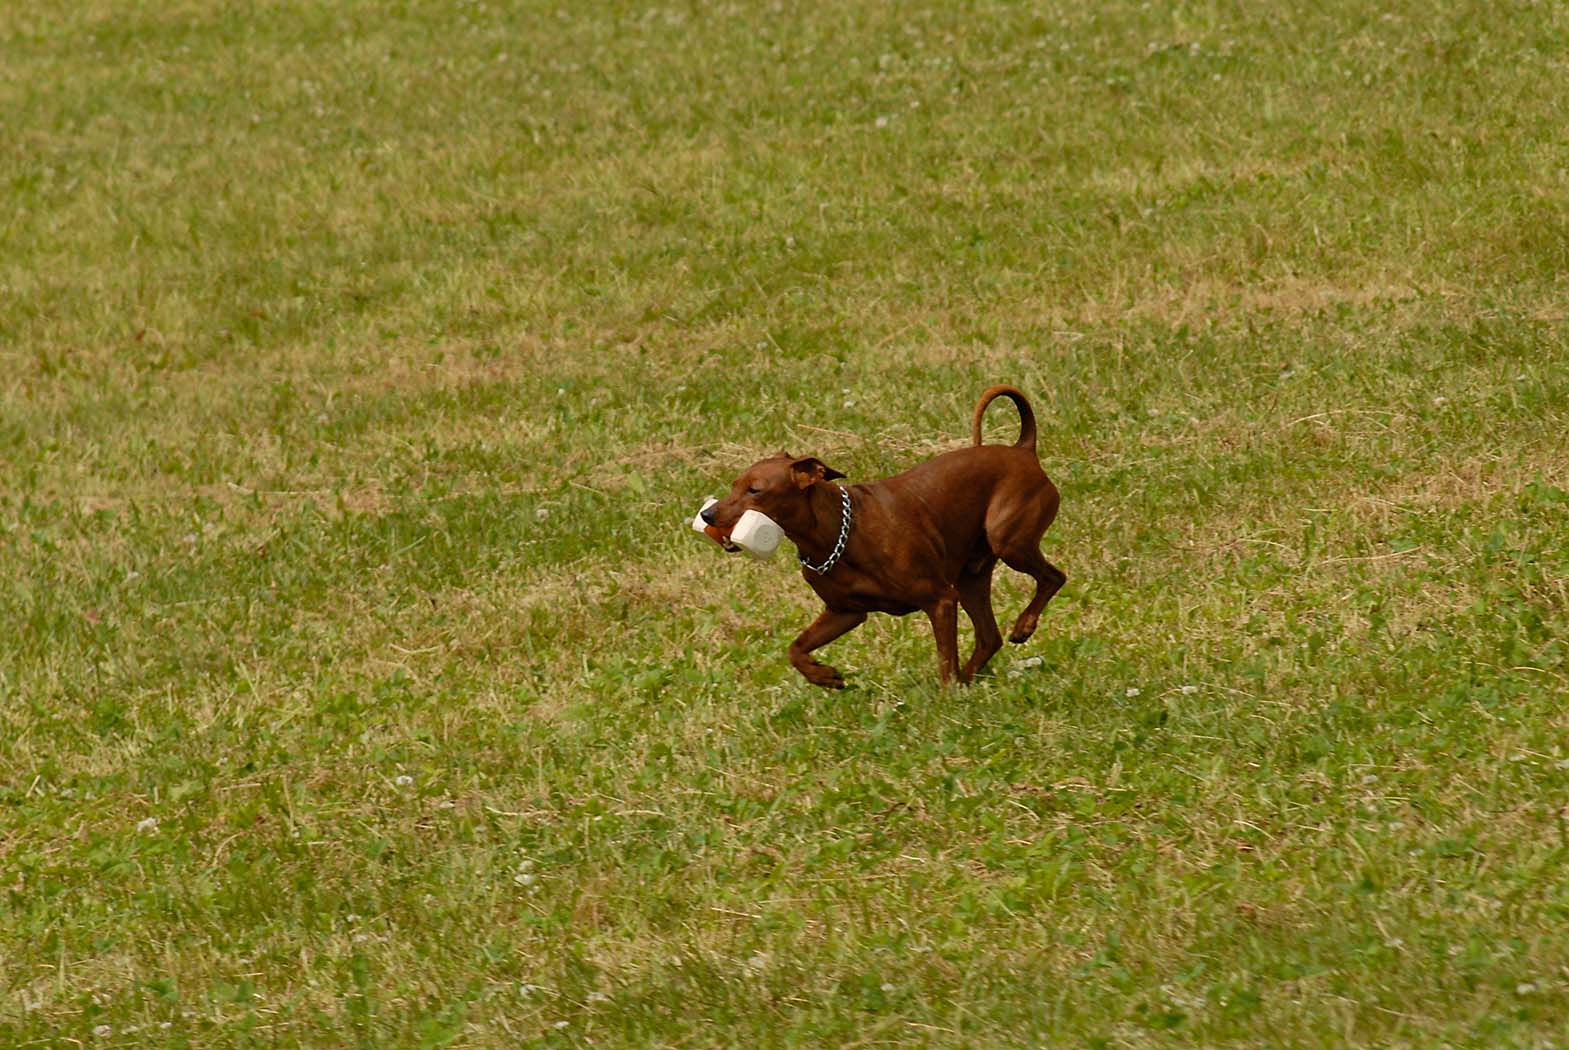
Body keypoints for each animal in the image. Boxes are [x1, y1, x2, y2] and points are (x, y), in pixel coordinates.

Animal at [702, 384, 1060, 687]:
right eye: (734, 485)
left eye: (755, 490)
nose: (707, 515)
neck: (838, 536)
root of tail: (1023, 450)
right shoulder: (843, 612)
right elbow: (795, 649)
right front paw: (823, 675)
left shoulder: (941, 600)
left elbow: (945, 662)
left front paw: (947, 699)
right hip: (971, 576)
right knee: (989, 637)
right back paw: (969, 678)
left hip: (1007, 540)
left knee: (1054, 577)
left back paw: (1024, 625)